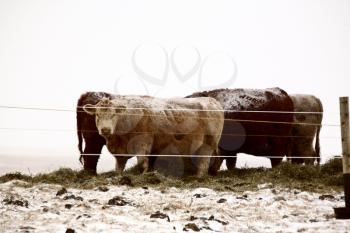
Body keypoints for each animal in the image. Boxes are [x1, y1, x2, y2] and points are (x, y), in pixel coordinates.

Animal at [82, 94, 224, 177]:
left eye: (113, 115)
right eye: (97, 115)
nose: (105, 129)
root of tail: (212, 101)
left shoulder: (143, 142)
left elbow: (141, 163)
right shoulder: (120, 151)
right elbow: (119, 167)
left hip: (209, 142)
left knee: (204, 161)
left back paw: (199, 177)